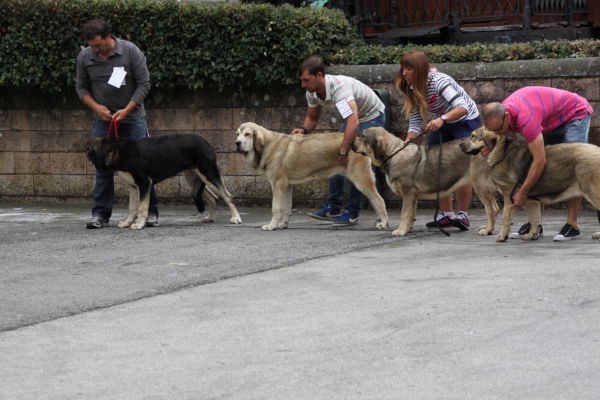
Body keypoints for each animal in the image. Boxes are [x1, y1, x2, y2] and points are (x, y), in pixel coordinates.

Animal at [85, 134, 244, 230]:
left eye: (88, 154)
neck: (117, 151)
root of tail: (208, 143)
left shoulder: (144, 183)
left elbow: (142, 207)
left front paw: (139, 224)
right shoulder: (134, 186)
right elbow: (132, 208)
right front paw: (127, 222)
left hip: (209, 174)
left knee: (228, 196)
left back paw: (236, 218)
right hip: (194, 178)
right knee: (214, 198)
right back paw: (210, 218)